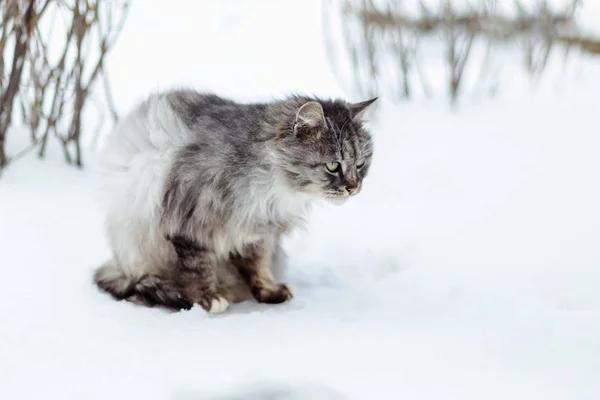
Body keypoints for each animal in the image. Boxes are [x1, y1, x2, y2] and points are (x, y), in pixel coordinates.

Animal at [93, 89, 376, 314]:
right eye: (333, 166)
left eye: (360, 164)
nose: (353, 188)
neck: (273, 185)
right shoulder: (189, 223)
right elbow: (198, 268)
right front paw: (207, 299)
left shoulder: (258, 230)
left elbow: (257, 267)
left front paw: (269, 292)